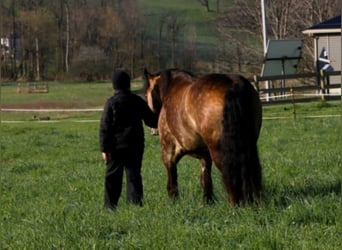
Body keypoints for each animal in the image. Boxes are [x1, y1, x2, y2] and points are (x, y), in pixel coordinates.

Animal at [143, 68, 264, 205]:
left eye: (146, 95)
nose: (152, 129)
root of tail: (233, 85)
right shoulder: (205, 155)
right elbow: (206, 179)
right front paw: (208, 202)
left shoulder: (169, 152)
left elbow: (172, 182)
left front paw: (174, 203)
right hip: (249, 145)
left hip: (219, 151)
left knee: (230, 174)